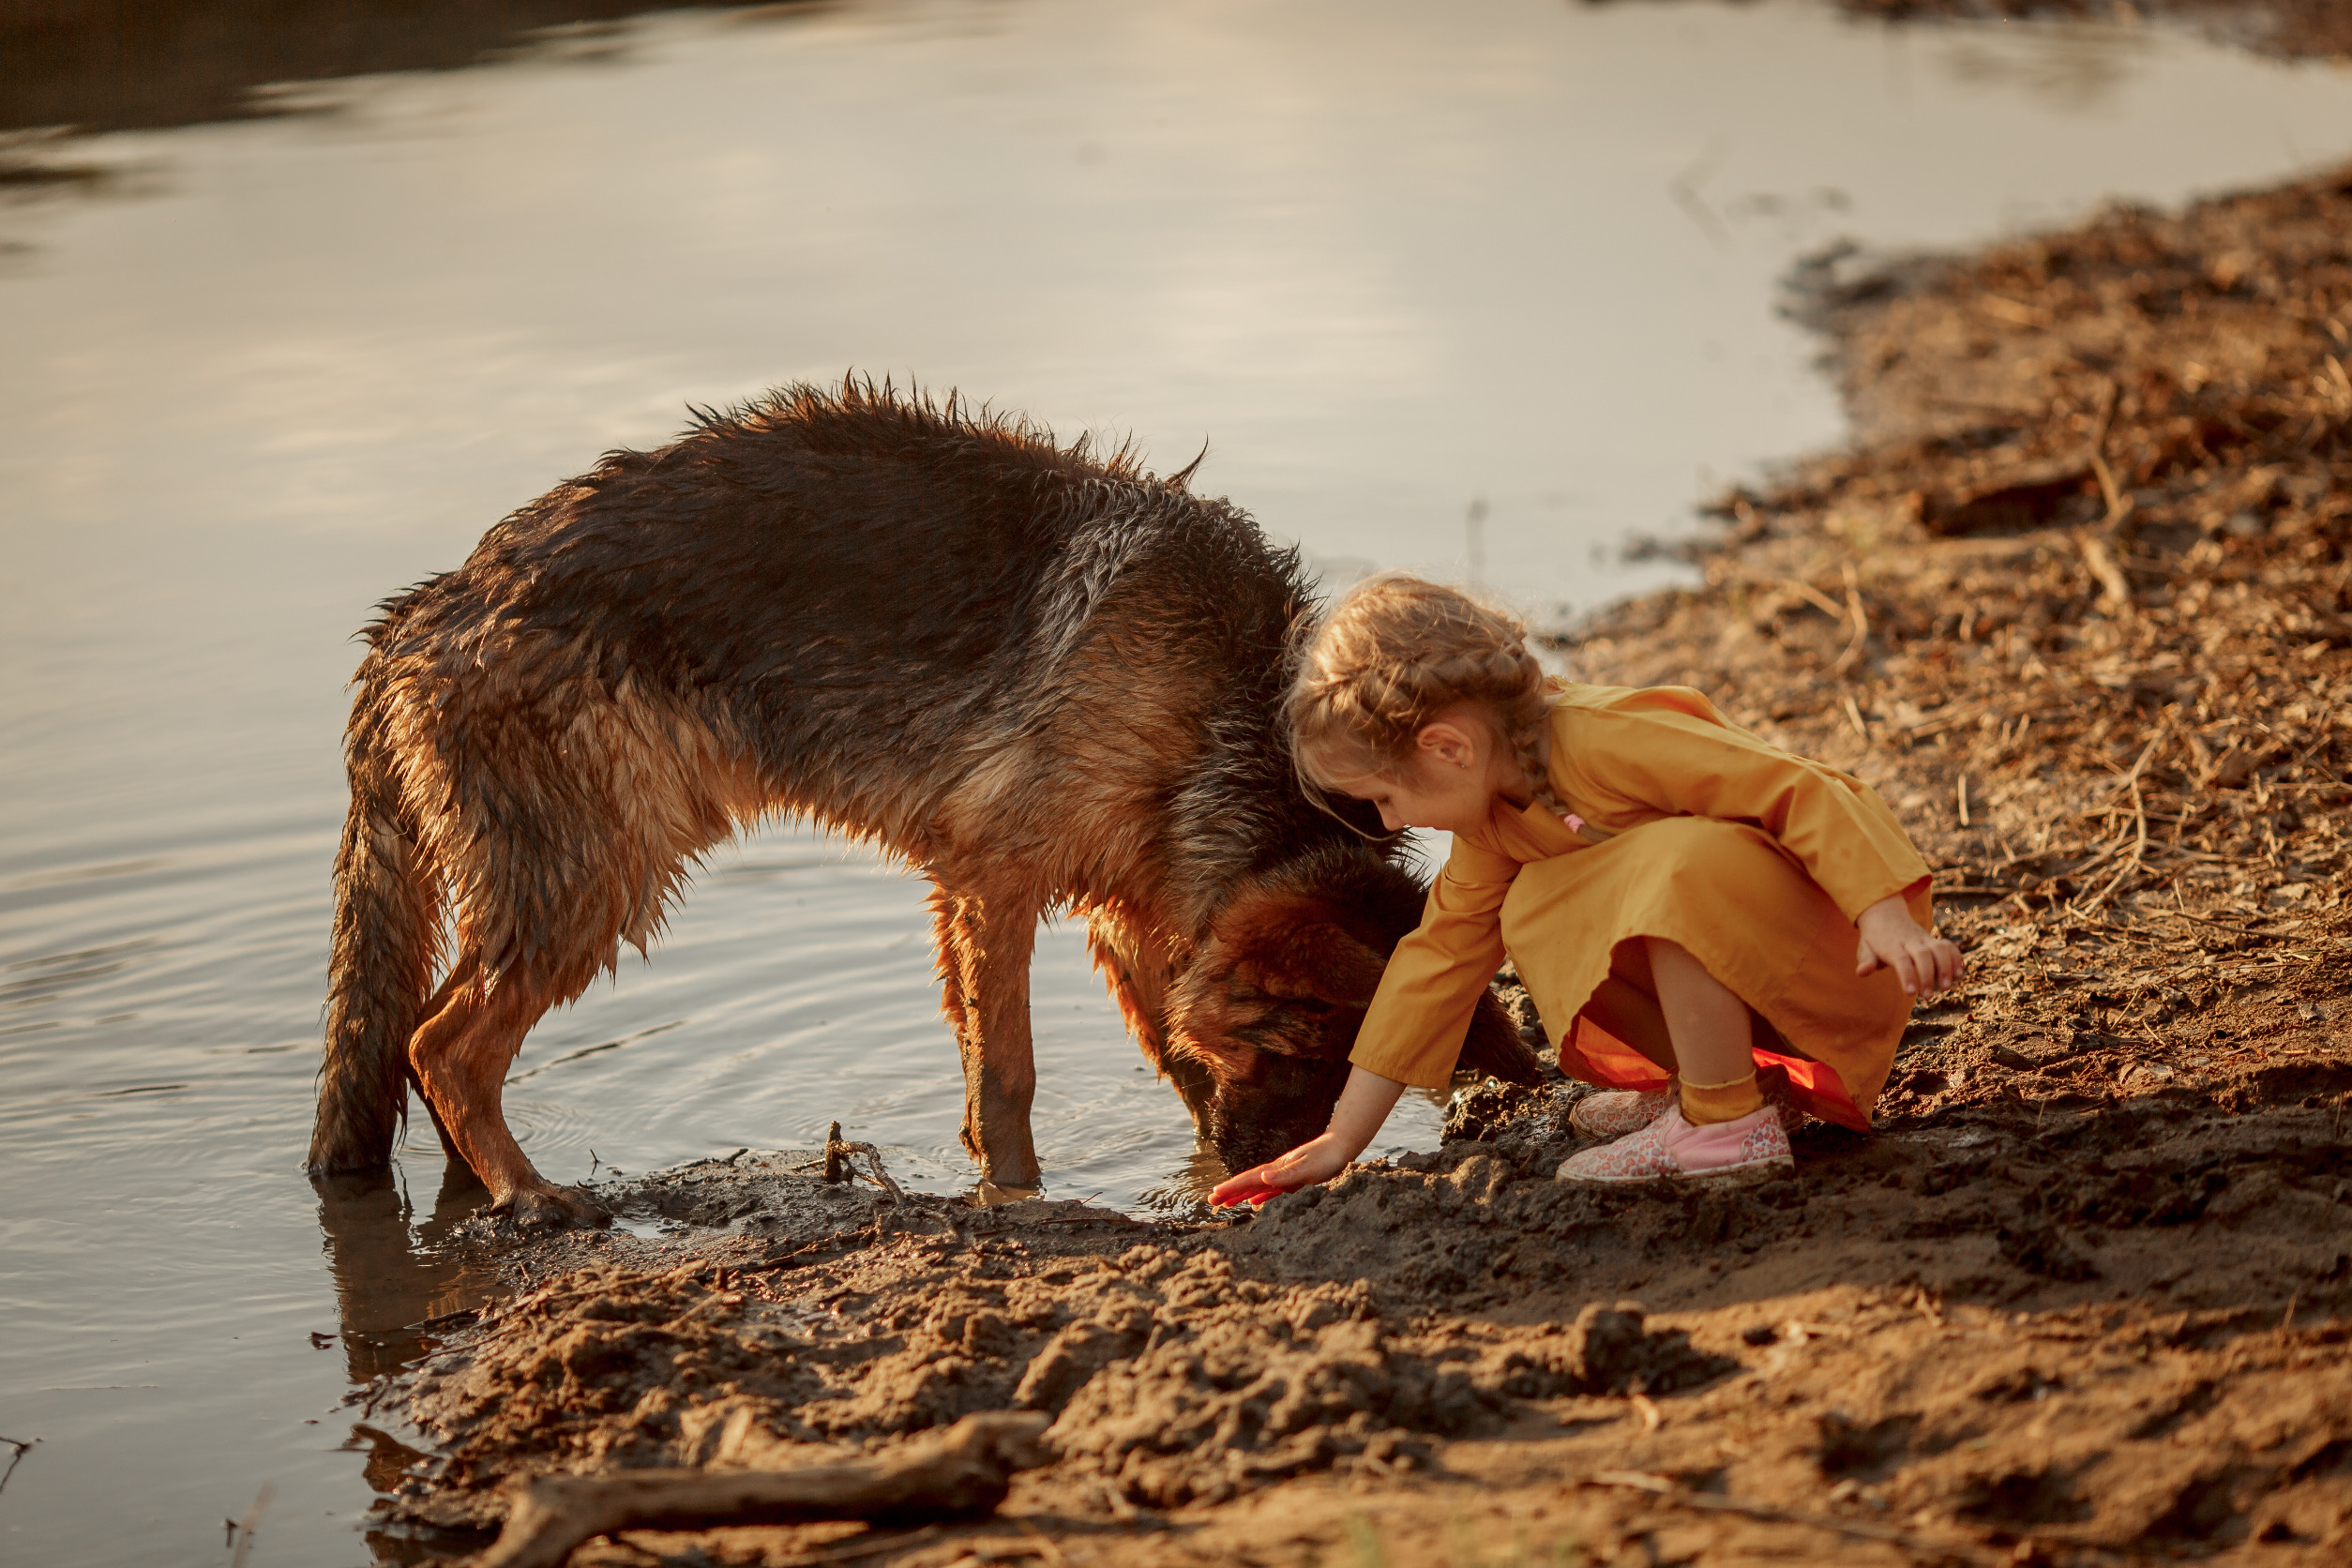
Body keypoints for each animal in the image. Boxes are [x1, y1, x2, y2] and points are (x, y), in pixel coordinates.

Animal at [303, 381, 1533, 1222]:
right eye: (1295, 1044)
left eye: (1347, 1072)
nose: (1258, 1180)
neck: (1223, 712)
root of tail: (421, 615)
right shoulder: (998, 883)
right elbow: (1011, 1078)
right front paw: (1024, 1202)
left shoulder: (1128, 907)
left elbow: (1168, 1061)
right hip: (596, 875)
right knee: (443, 1044)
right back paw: (533, 1196)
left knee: (424, 1043)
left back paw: (487, 1191)